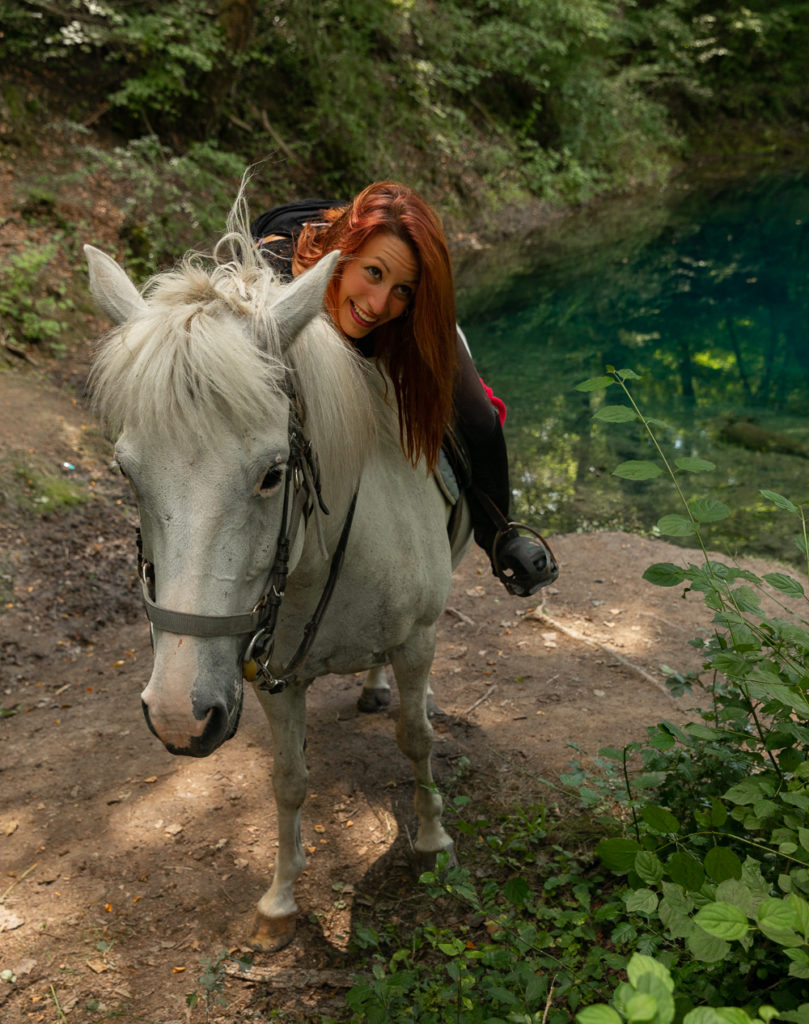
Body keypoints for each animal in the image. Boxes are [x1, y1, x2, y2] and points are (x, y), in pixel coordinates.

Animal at [83, 201, 469, 950]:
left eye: (272, 472)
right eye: (126, 471)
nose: (177, 715)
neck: (325, 563)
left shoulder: (415, 637)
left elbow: (416, 739)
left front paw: (434, 841)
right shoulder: (265, 677)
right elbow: (288, 779)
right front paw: (280, 900)